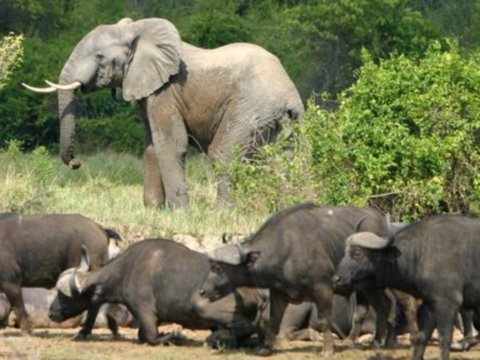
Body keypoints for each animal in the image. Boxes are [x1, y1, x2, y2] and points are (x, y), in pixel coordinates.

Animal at [23, 17, 304, 208]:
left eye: (100, 56)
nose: (76, 163)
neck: (138, 32)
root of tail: (292, 95)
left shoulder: (165, 92)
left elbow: (171, 145)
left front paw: (180, 213)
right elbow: (151, 146)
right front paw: (154, 210)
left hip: (250, 108)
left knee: (224, 154)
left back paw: (222, 211)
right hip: (278, 121)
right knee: (281, 160)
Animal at [334, 215, 480, 358]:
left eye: (357, 253)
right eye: (344, 252)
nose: (336, 279)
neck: (421, 253)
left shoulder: (448, 304)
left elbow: (444, 340)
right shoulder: (430, 304)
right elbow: (422, 338)